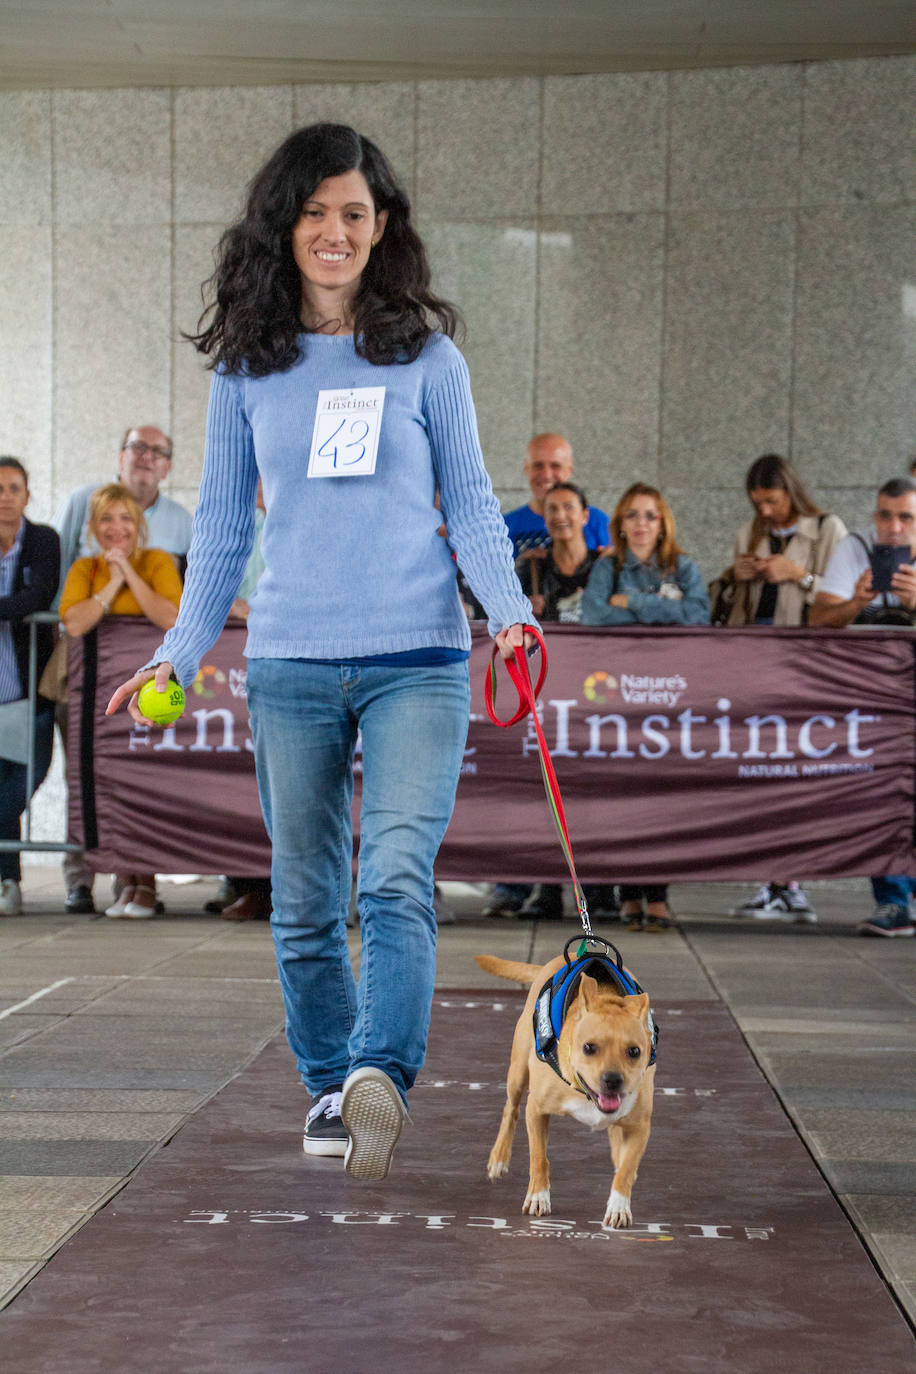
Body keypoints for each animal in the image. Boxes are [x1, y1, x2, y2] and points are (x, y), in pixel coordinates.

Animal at [477, 950, 656, 1231]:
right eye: (589, 1047)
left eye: (634, 1051)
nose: (613, 1080)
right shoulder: (536, 1111)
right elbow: (539, 1158)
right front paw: (538, 1198)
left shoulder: (640, 1126)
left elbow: (626, 1169)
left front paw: (619, 1207)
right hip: (517, 1072)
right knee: (510, 1110)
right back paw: (499, 1158)